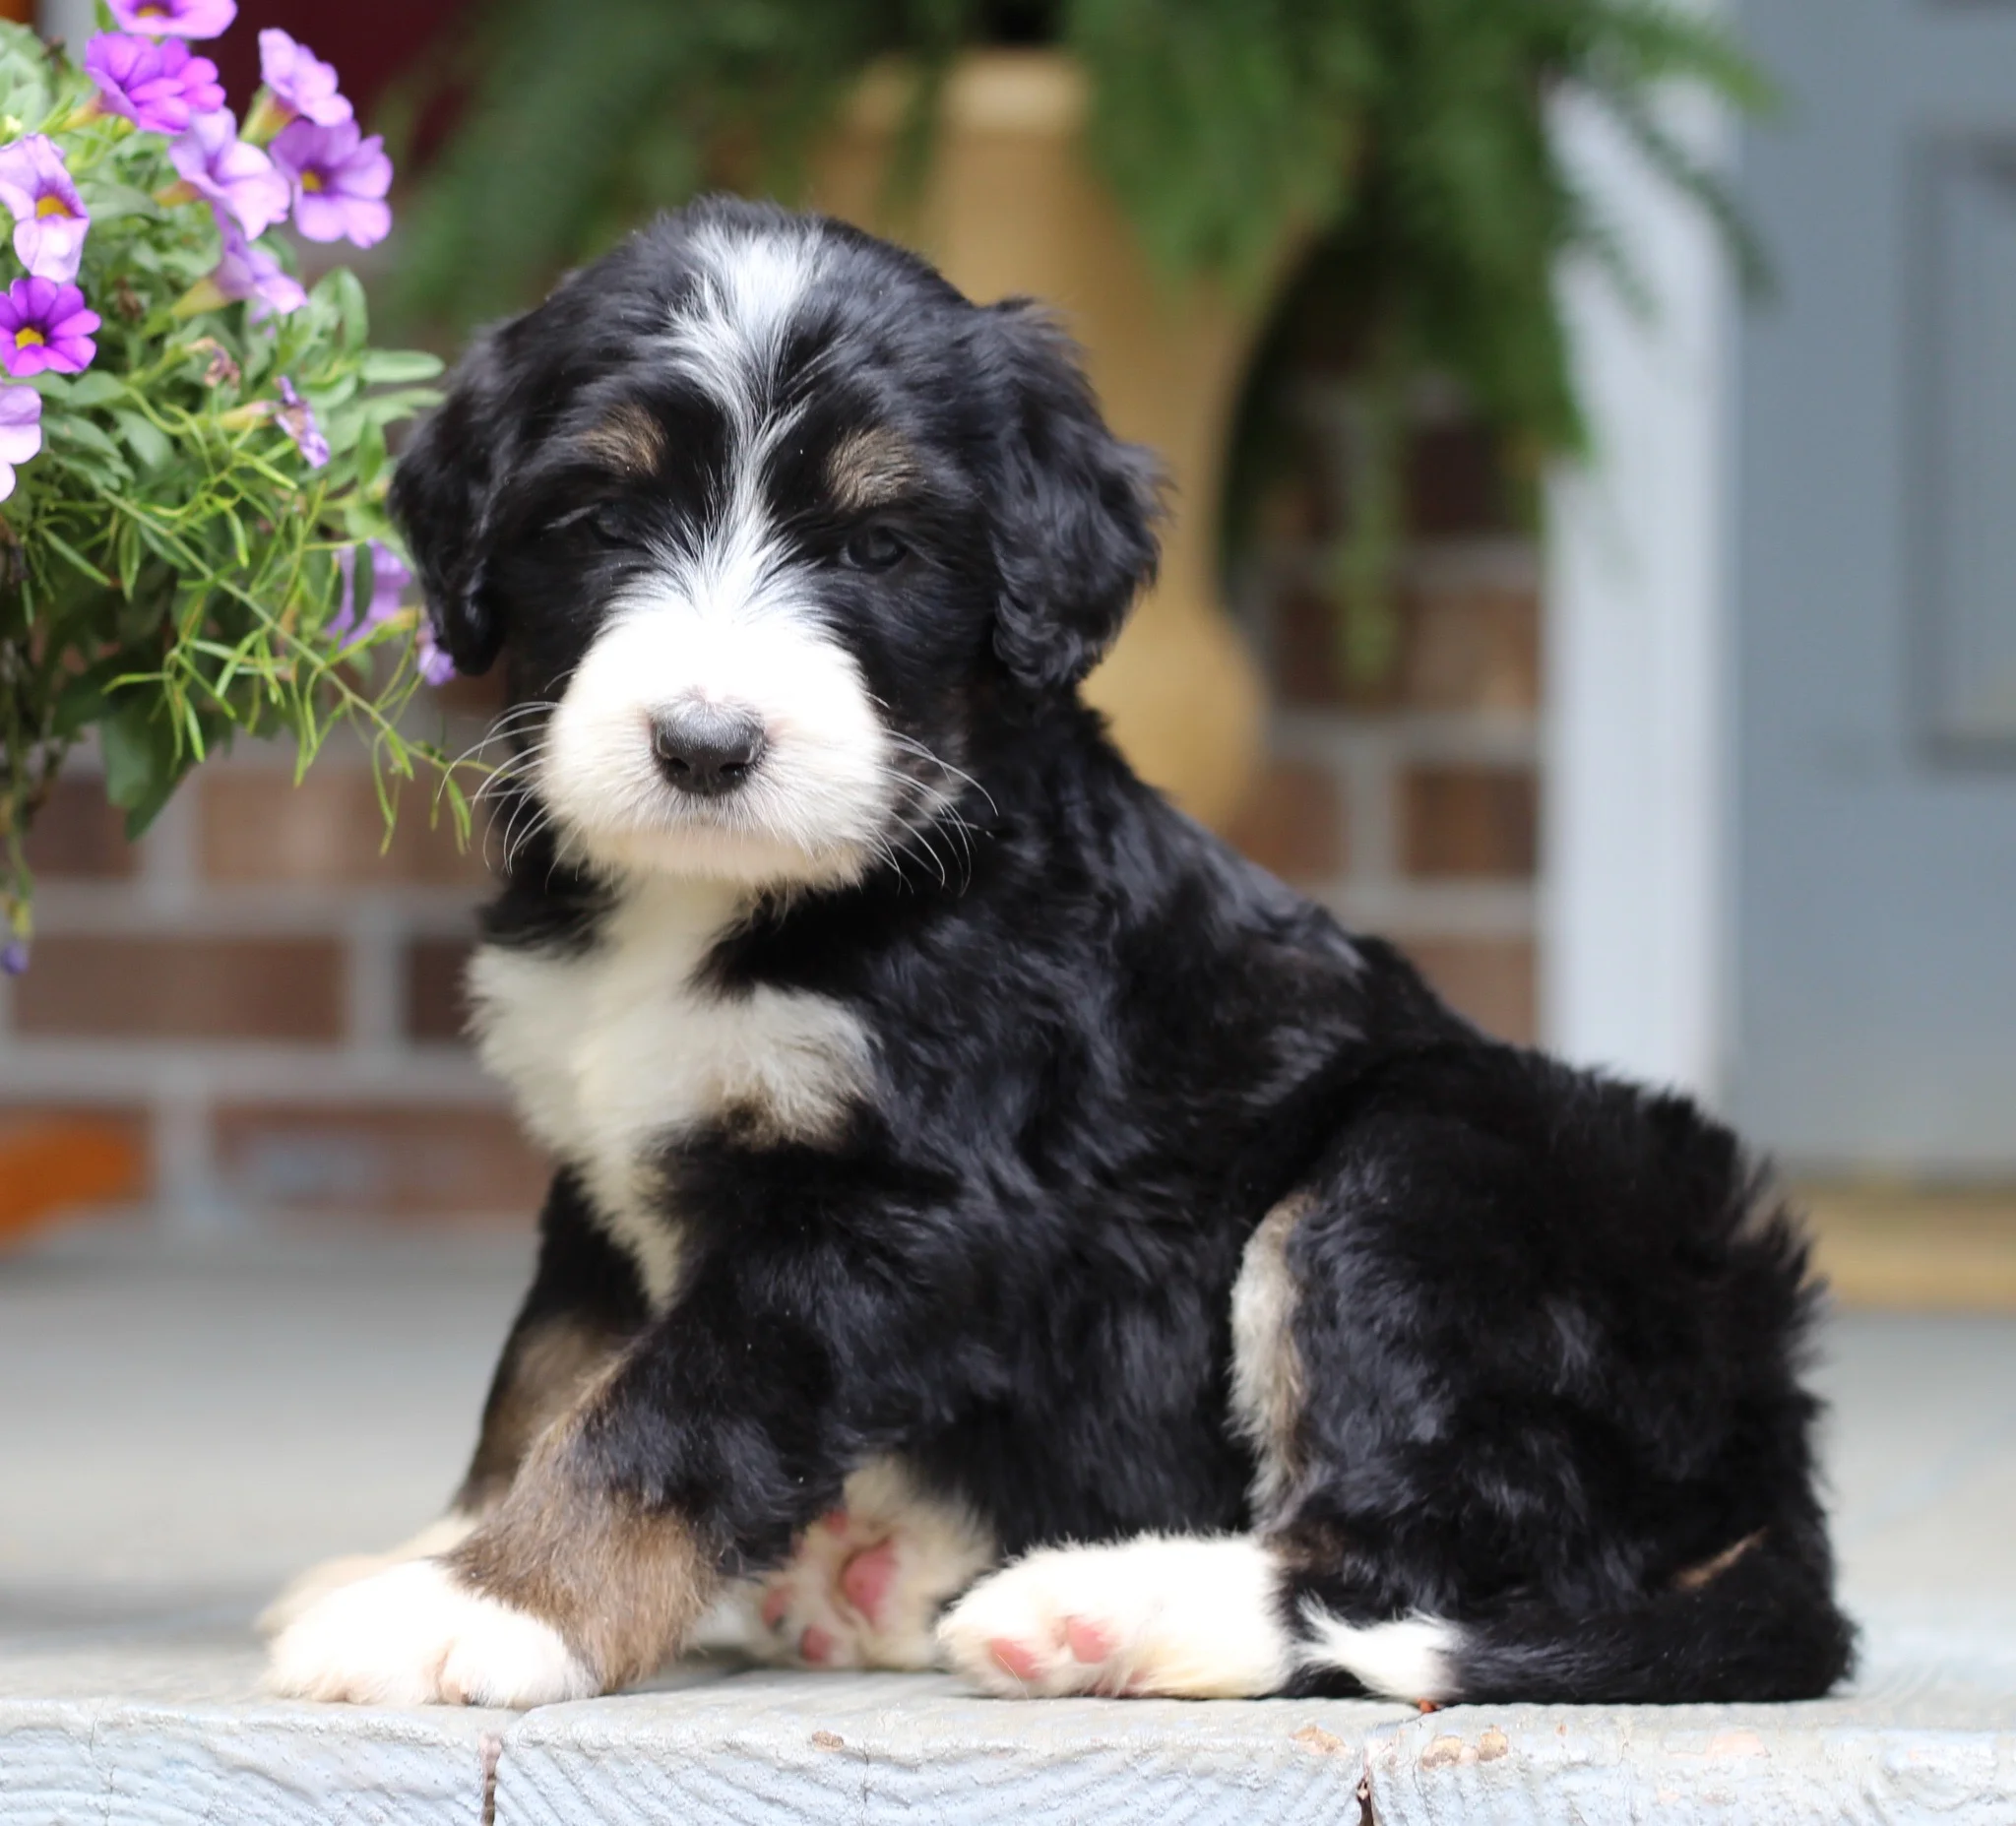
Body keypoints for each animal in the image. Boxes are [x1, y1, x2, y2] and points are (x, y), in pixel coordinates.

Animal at [264, 199, 1855, 1709]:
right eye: (598, 522)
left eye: (876, 547)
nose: (705, 745)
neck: (735, 900)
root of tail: (1770, 1432)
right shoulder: (607, 1161)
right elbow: (545, 1371)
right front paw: (432, 1550)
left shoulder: (892, 1207)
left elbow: (665, 1412)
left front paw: (482, 1610)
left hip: (1423, 1175)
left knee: (1412, 1549)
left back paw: (1091, 1608)